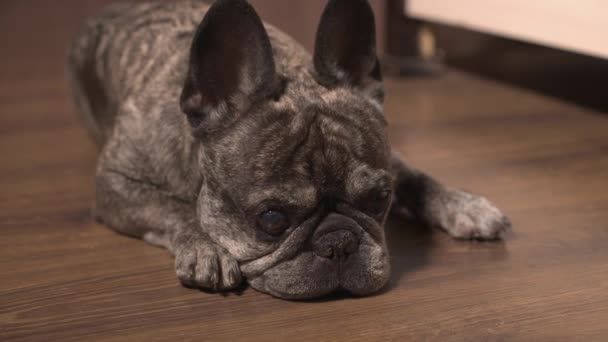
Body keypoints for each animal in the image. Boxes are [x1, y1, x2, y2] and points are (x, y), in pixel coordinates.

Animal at [69, 0, 510, 300]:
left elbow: (418, 178)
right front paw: (206, 246)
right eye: (272, 218)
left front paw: (465, 205)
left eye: (379, 199)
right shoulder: (116, 182)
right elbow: (172, 209)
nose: (339, 243)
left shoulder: (391, 162)